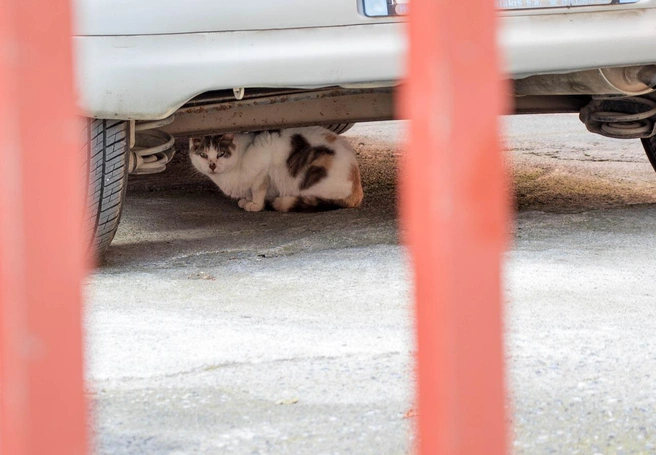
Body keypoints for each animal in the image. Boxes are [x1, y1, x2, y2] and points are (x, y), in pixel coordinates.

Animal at [188, 125, 364, 213]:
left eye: (221, 154)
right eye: (203, 155)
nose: (212, 165)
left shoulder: (262, 166)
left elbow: (258, 190)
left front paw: (255, 205)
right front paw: (247, 200)